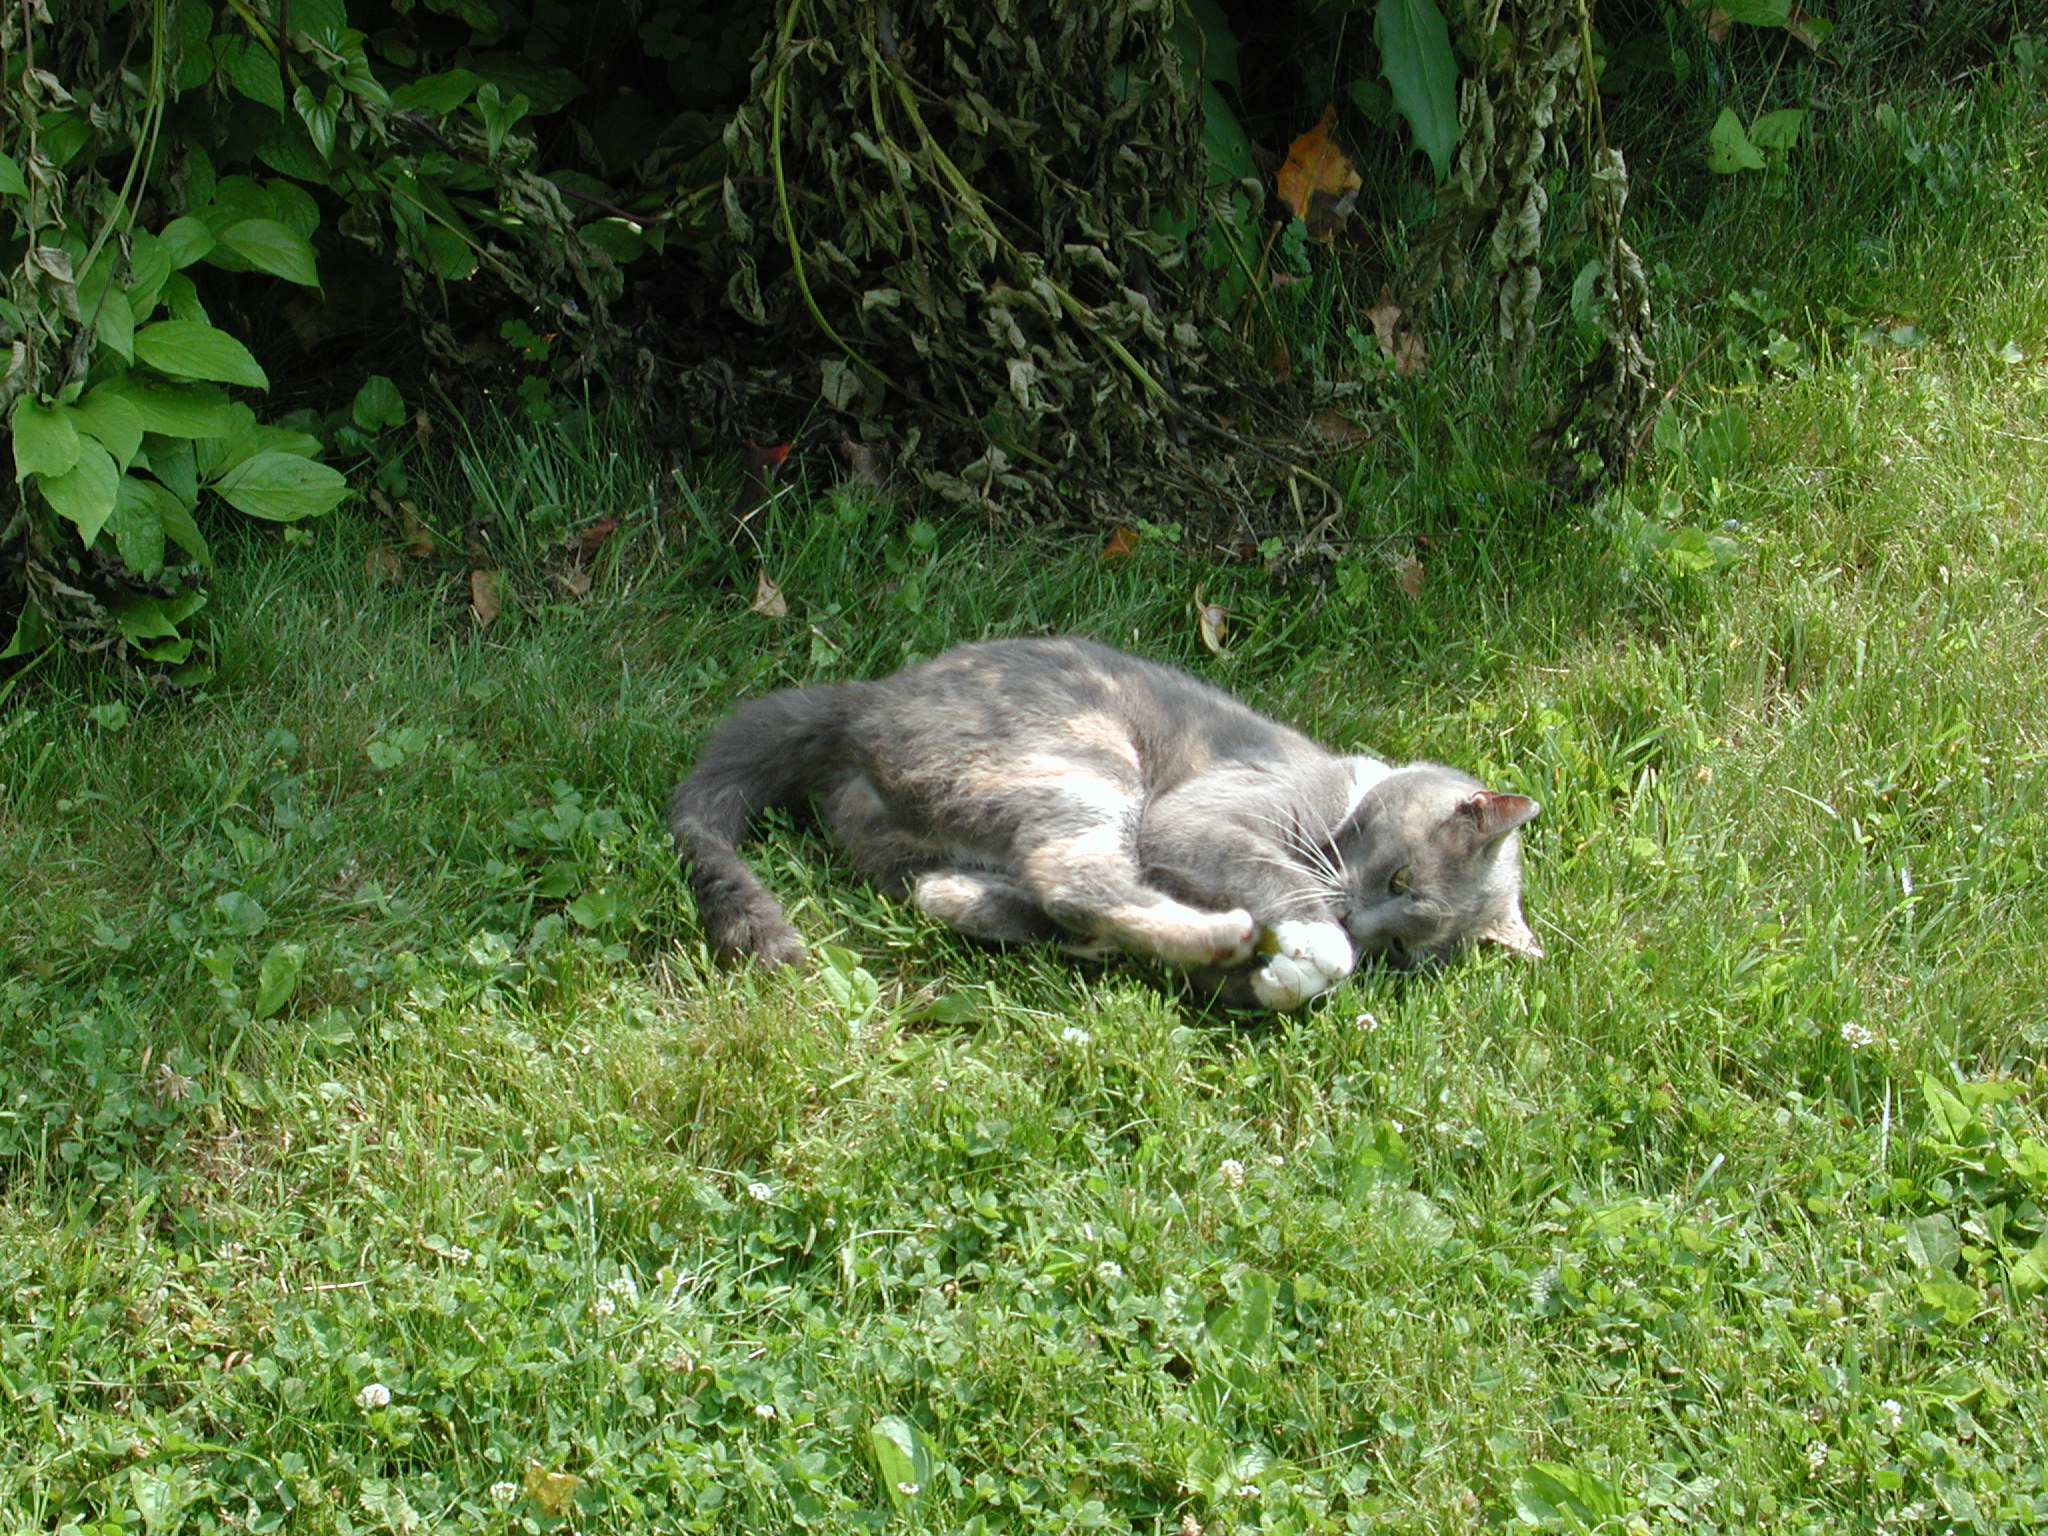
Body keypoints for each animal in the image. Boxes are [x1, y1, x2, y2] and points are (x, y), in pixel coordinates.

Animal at [669, 637, 1541, 1009]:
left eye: (1404, 951)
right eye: (1398, 877)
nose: (1365, 928)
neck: (1352, 789)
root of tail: (862, 704)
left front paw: (1279, 979)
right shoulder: (1204, 816)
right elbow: (1283, 883)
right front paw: (1315, 947)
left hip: (923, 838)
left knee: (958, 894)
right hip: (1082, 761)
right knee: (1074, 879)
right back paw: (1219, 933)